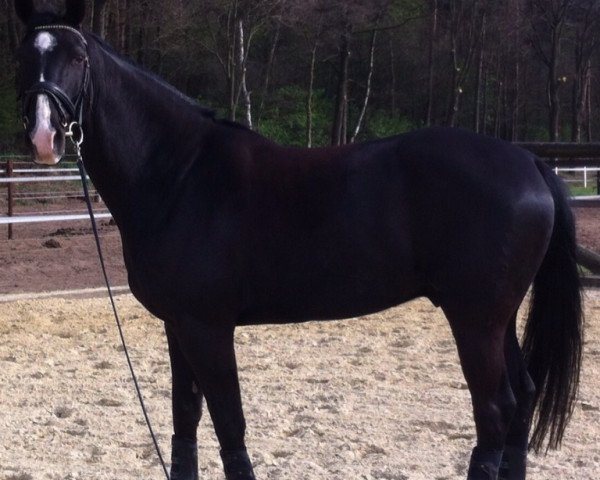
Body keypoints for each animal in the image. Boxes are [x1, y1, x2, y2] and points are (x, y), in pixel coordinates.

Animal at [14, 1, 584, 478]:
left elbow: (230, 426)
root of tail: (529, 162)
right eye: (23, 56)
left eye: (77, 56)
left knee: (494, 410)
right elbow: (185, 422)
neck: (179, 173)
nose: (44, 137)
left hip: (474, 318)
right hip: (496, 318)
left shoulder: (208, 327)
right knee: (522, 398)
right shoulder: (178, 326)